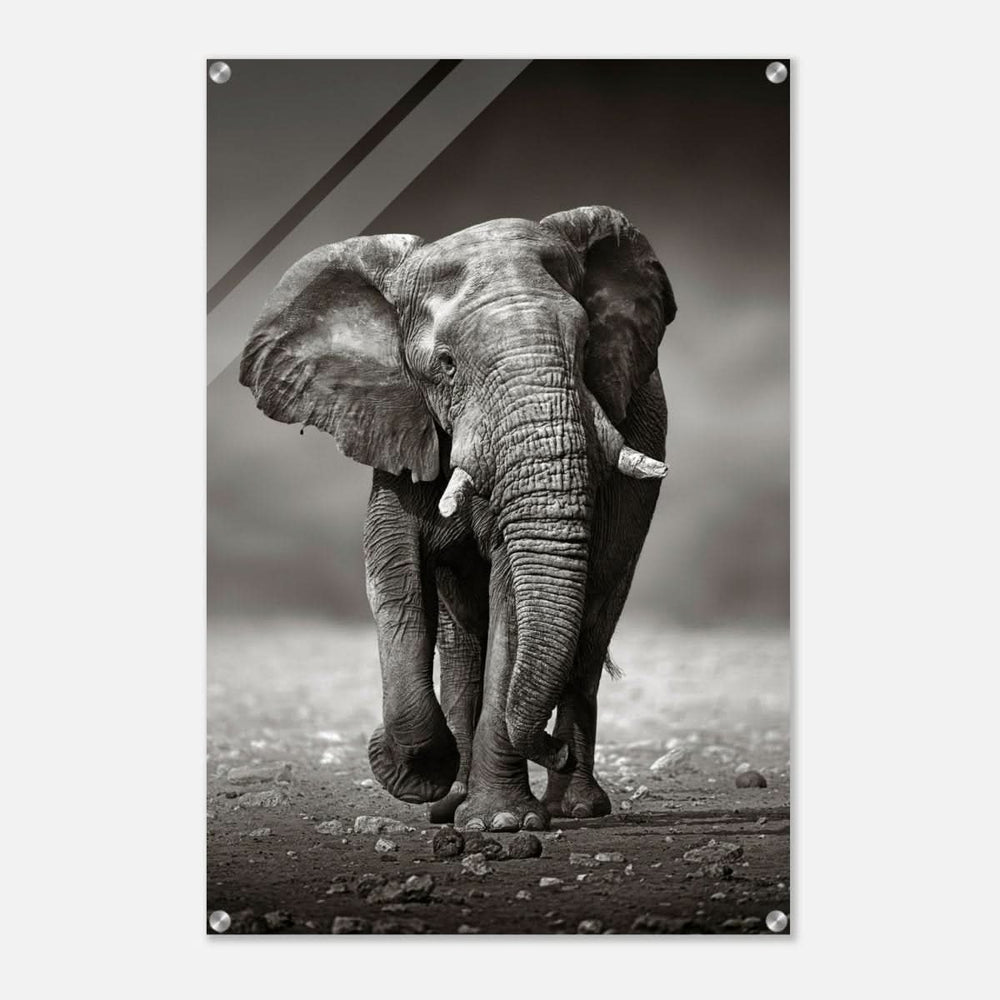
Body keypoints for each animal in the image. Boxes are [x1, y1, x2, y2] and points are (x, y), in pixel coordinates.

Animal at [239, 205, 676, 832]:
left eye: (587, 343)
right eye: (445, 365)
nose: (551, 749)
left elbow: (511, 596)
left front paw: (502, 823)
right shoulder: (398, 422)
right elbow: (393, 577)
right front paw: (419, 775)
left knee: (592, 624)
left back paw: (573, 807)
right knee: (462, 639)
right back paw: (452, 802)